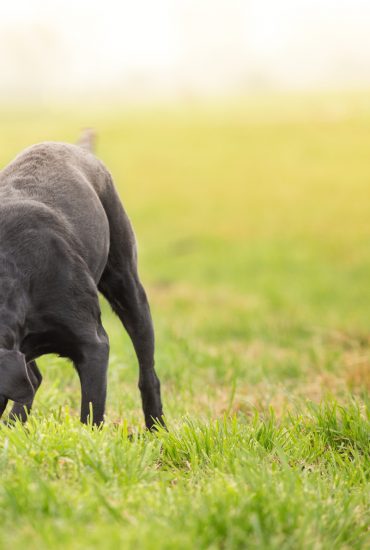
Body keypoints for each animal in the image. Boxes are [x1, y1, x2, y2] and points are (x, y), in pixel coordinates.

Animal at [0, 132, 163, 430]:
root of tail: (79, 148)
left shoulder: (95, 346)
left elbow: (91, 413)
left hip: (128, 288)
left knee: (148, 374)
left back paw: (157, 427)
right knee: (33, 379)